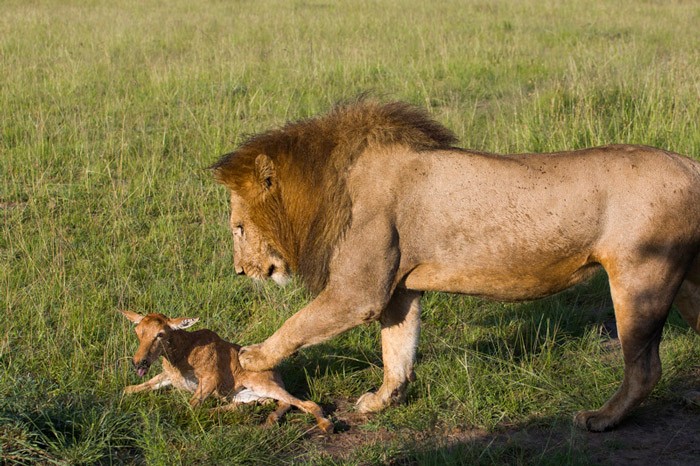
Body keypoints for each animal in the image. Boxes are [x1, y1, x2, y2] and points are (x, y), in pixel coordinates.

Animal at [120, 310, 334, 434]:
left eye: (160, 334)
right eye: (138, 331)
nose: (139, 362)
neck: (182, 353)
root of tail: (277, 373)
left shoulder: (211, 378)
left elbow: (188, 408)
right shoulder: (168, 377)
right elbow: (132, 388)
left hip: (261, 384)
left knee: (303, 403)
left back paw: (327, 425)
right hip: (242, 395)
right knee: (260, 404)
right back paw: (268, 419)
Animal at [209, 100, 700, 432]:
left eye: (238, 228)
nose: (239, 272)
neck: (326, 183)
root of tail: (690, 164)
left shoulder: (359, 291)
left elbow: (300, 323)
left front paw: (251, 355)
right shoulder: (399, 290)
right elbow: (397, 352)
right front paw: (381, 402)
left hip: (639, 279)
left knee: (644, 368)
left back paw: (601, 418)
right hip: (687, 285)